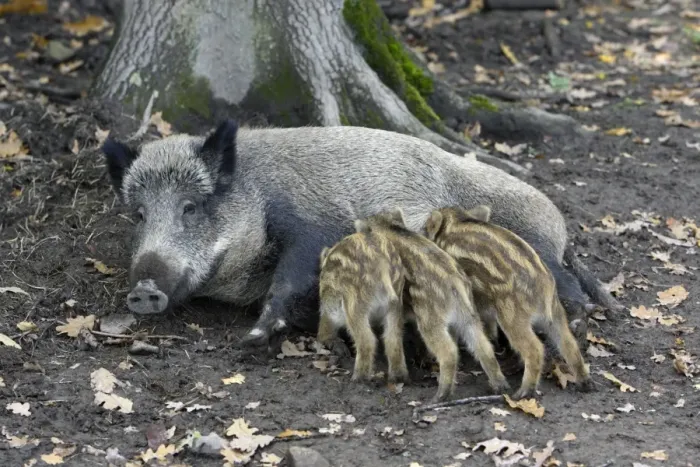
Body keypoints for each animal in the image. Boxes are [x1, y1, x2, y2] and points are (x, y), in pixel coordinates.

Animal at [101, 119, 620, 352]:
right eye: (140, 214)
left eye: (191, 207)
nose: (144, 288)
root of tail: (562, 231)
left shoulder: (313, 221)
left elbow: (292, 274)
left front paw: (253, 337)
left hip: (534, 241)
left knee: (566, 288)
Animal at [425, 205, 594, 399]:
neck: (453, 223)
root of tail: (544, 287)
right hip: (556, 314)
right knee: (569, 344)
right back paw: (585, 384)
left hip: (512, 317)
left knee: (535, 349)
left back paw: (523, 392)